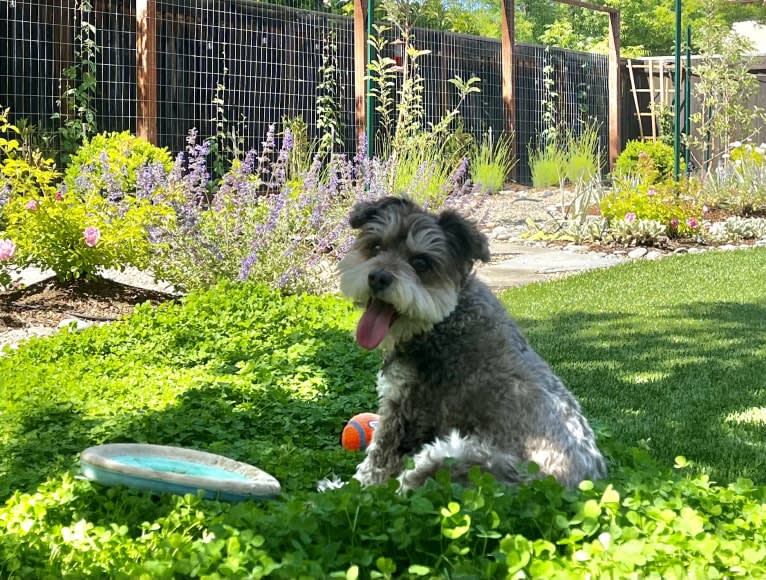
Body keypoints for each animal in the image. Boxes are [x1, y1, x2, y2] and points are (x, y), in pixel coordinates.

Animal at [340, 197, 608, 492]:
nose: (378, 277)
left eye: (421, 262)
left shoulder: (405, 411)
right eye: (376, 246)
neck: (447, 318)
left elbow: (377, 461)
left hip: (452, 455)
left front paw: (343, 487)